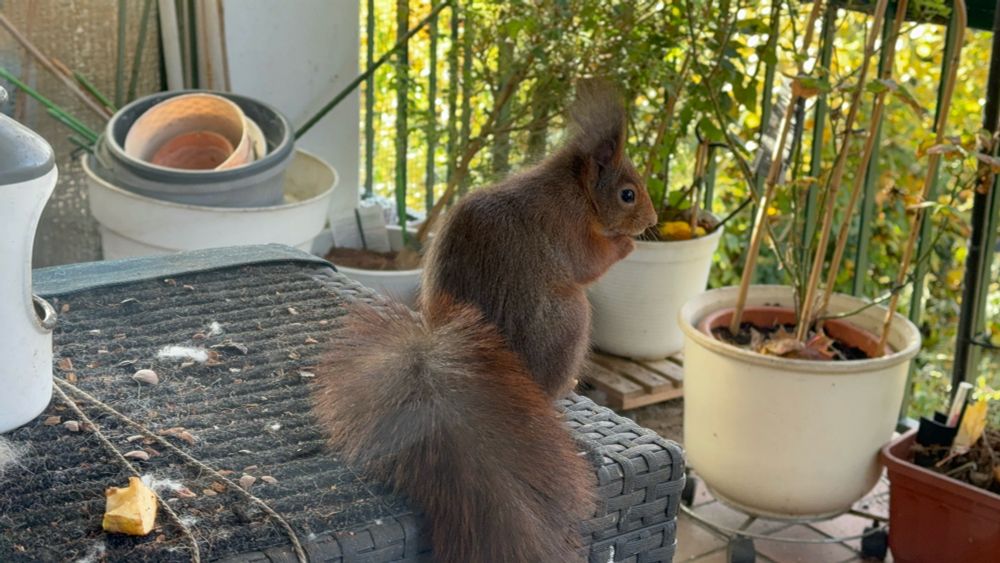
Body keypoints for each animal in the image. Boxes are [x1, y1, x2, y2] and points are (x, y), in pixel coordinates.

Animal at [312, 82, 657, 563]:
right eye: (628, 194)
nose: (654, 220)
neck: (574, 190)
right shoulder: (569, 229)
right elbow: (590, 262)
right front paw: (625, 245)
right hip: (570, 321)